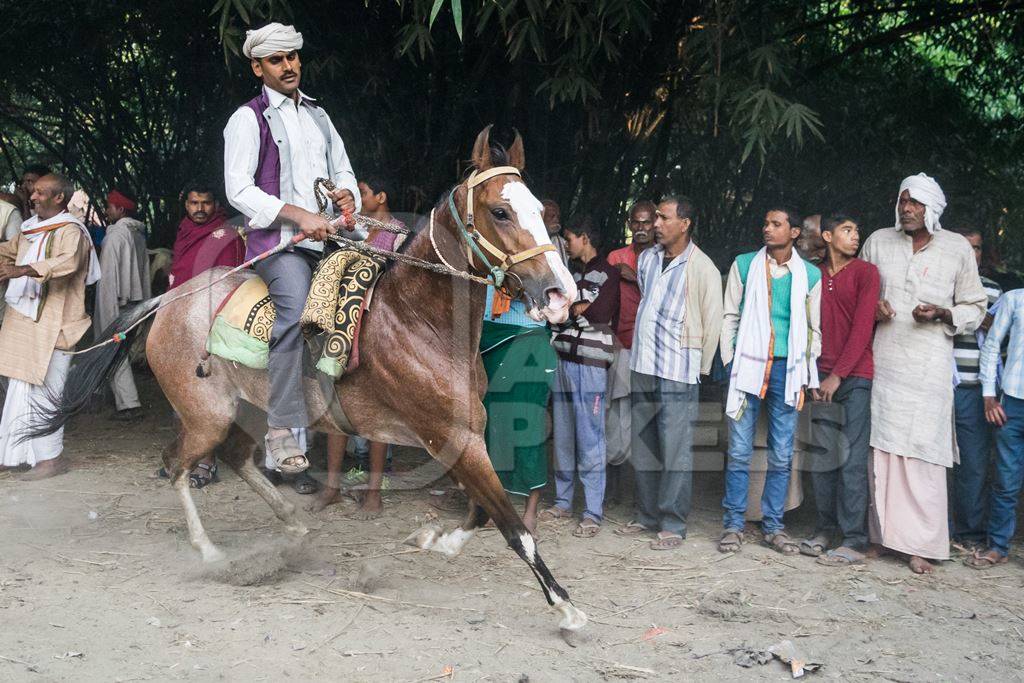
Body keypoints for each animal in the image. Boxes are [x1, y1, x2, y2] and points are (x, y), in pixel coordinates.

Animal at [37, 126, 585, 630]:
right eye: (500, 212)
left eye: (540, 210)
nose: (561, 293)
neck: (417, 319)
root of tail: (167, 299)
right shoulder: (449, 434)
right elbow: (512, 526)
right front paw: (566, 606)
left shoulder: (464, 434)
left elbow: (482, 511)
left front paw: (437, 540)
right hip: (206, 415)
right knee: (176, 464)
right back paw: (209, 551)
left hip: (250, 411)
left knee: (236, 457)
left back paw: (293, 524)